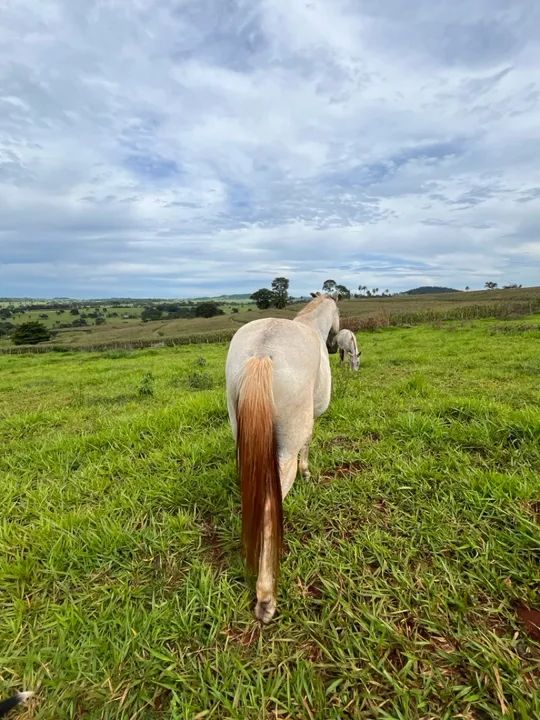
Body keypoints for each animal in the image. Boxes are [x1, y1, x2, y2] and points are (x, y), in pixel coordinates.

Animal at [225, 294, 339, 622]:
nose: (333, 346)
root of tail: (263, 351)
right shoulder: (310, 420)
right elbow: (307, 444)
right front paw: (307, 473)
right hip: (282, 453)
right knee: (267, 507)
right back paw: (266, 597)